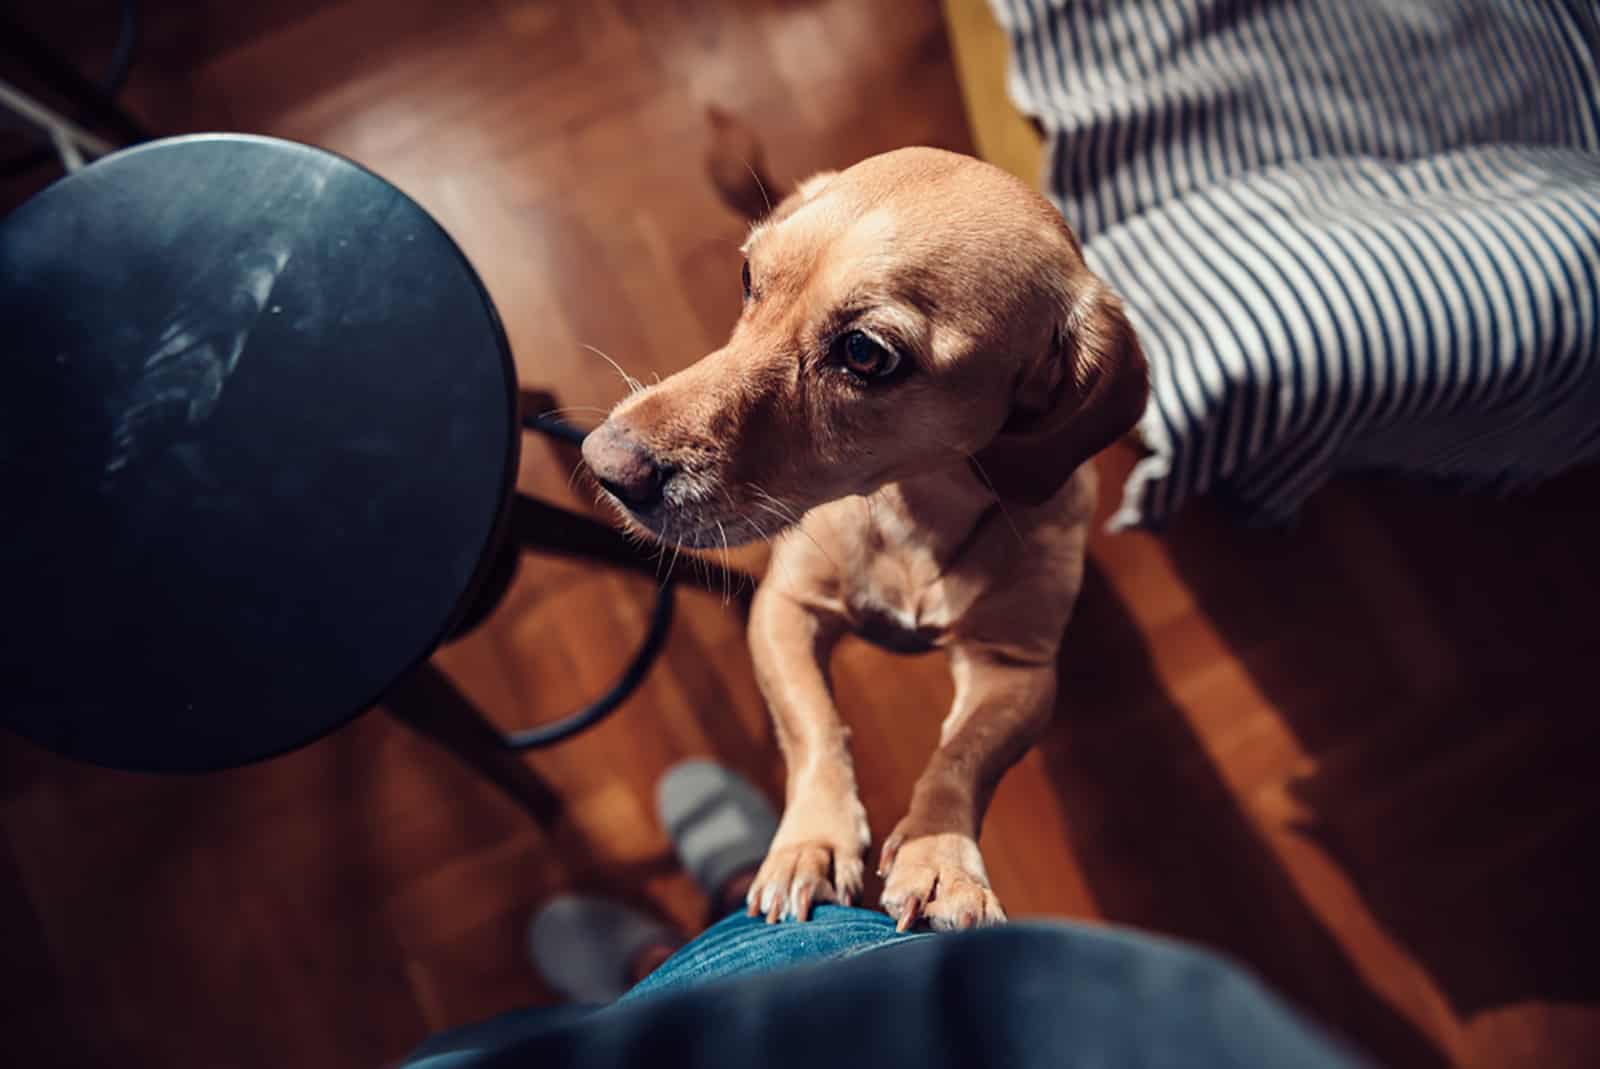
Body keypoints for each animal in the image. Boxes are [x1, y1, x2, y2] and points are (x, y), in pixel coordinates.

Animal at [582, 141, 1145, 928]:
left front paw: (942, 861)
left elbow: (963, 757)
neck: (915, 514)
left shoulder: (1017, 669)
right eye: (749, 278)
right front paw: (813, 842)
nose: (605, 465)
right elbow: (816, 727)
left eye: (866, 354)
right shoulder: (783, 611)